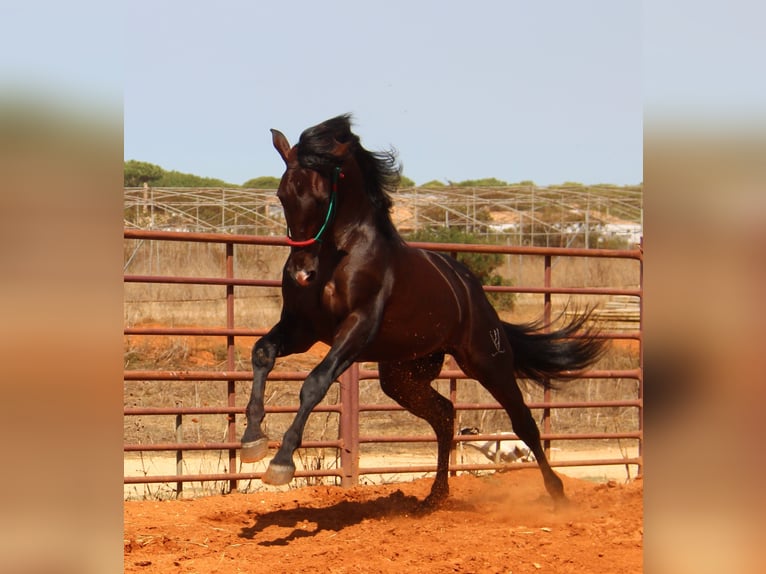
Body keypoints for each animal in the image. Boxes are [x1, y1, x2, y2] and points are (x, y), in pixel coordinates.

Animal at [240, 115, 608, 510]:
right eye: (282, 195)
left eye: (323, 196)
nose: (301, 273)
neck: (340, 256)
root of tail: (469, 287)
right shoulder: (302, 329)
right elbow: (262, 353)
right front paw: (252, 440)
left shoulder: (356, 329)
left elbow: (315, 383)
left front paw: (280, 462)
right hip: (405, 376)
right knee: (445, 415)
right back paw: (436, 496)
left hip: (487, 362)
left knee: (522, 421)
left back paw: (556, 493)